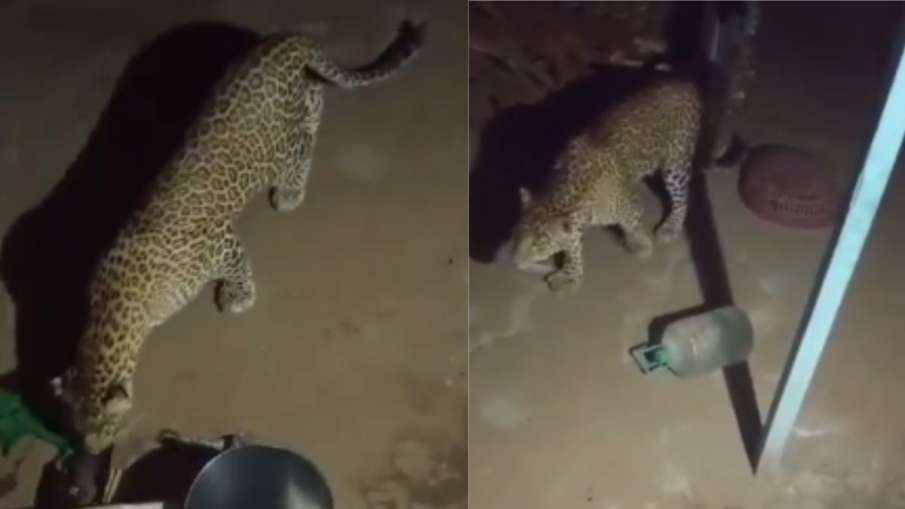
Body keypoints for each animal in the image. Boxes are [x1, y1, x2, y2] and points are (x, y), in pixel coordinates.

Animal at [54, 20, 425, 455]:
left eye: (104, 428)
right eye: (77, 430)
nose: (92, 452)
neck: (115, 308)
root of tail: (288, 39)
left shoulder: (219, 245)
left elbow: (239, 267)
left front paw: (237, 298)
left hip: (274, 149)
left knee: (300, 148)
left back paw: (289, 193)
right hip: (301, 93)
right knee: (314, 102)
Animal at [511, 77, 701, 295]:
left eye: (539, 245)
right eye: (517, 236)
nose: (515, 262)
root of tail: (683, 81)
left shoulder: (630, 203)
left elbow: (632, 224)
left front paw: (638, 244)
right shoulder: (572, 225)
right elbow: (572, 246)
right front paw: (570, 273)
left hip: (676, 162)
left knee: (681, 197)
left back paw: (671, 226)